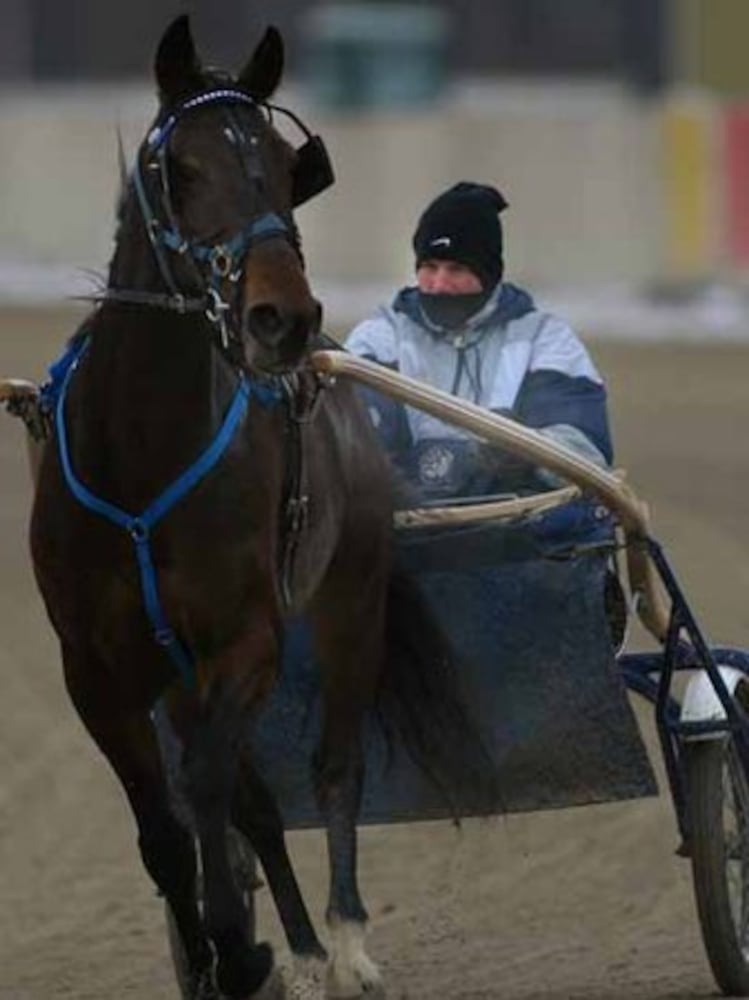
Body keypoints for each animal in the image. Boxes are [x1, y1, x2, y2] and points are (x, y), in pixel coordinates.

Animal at [29, 15, 500, 1000]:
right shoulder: (95, 669)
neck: (140, 460)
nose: (282, 318)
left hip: (350, 601)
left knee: (333, 769)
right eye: (182, 167)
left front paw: (239, 948)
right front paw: (224, 956)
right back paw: (306, 948)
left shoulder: (247, 640)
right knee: (252, 801)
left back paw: (344, 942)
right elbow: (167, 827)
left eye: (288, 166)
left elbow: (210, 784)